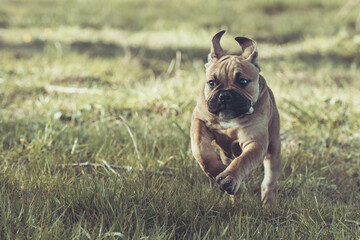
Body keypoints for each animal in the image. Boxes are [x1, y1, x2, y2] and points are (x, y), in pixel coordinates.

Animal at [190, 30, 280, 206]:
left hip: (273, 148)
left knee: (269, 181)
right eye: (211, 83)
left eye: (243, 81)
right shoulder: (199, 121)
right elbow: (201, 150)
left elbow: (243, 160)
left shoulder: (255, 142)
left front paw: (229, 178)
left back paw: (267, 204)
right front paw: (218, 171)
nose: (225, 95)